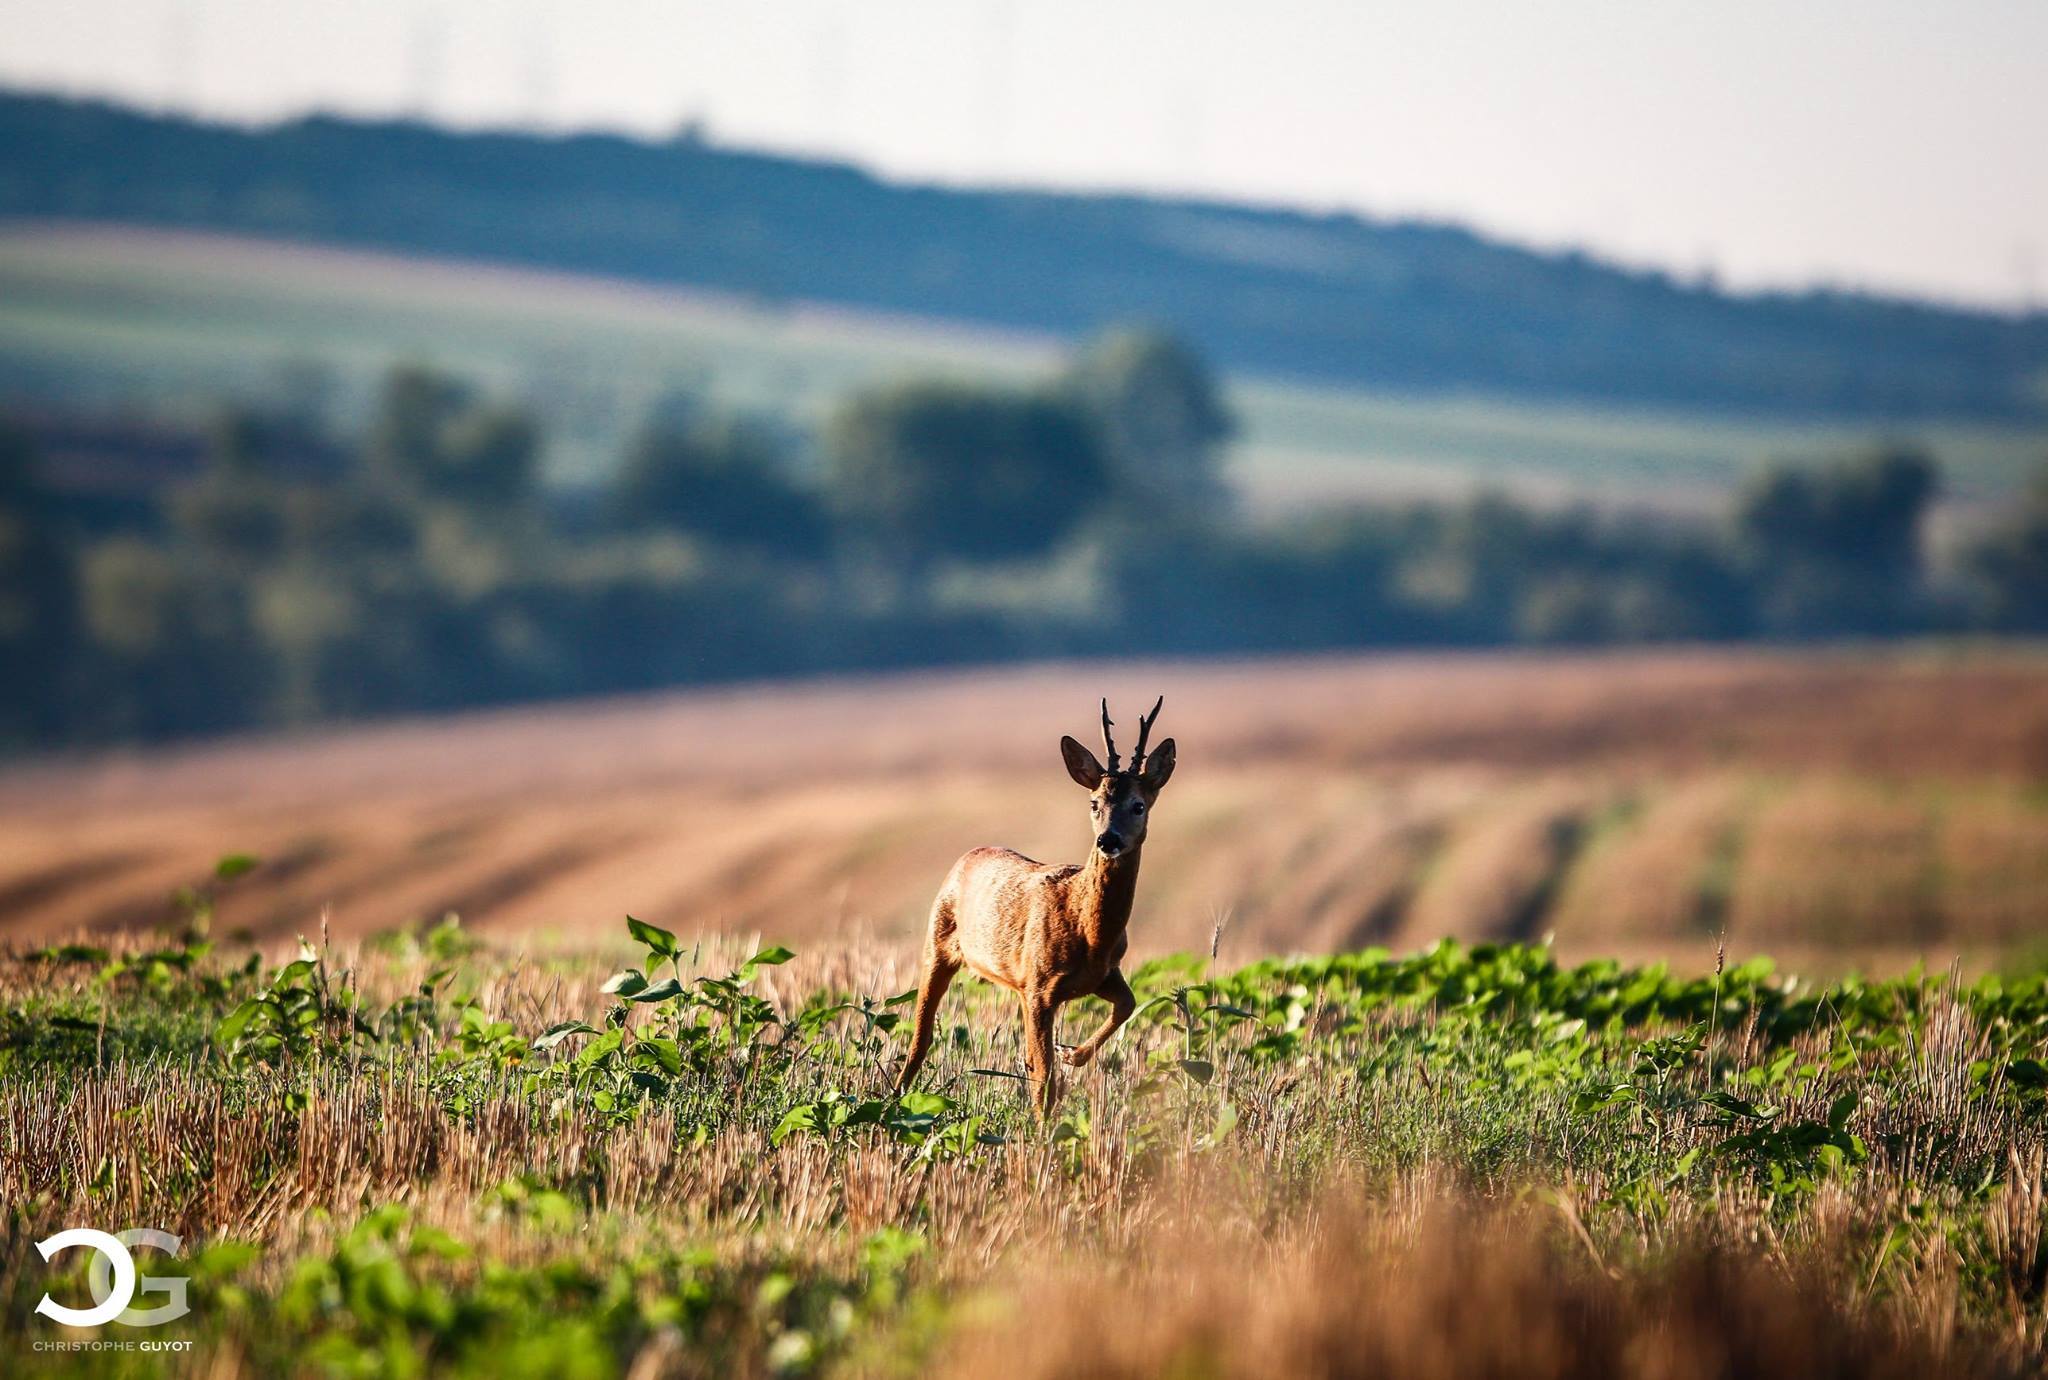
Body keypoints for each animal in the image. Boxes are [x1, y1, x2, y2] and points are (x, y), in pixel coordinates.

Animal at [892, 692, 1179, 1113]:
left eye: (1139, 805)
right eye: (1094, 802)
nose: (1107, 840)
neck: (1089, 930)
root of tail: (967, 856)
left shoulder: (1098, 974)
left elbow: (1127, 1004)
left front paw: (1072, 1053)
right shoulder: (1041, 986)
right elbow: (1045, 1077)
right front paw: (1046, 1123)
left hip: (1013, 982)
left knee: (1021, 1054)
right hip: (937, 943)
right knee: (920, 1036)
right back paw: (894, 1100)